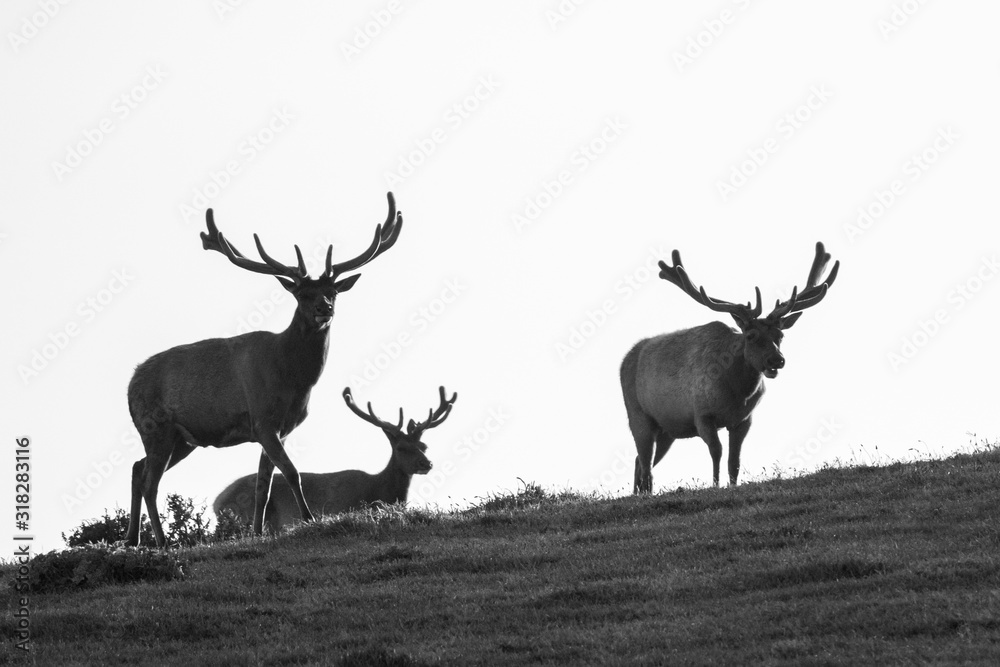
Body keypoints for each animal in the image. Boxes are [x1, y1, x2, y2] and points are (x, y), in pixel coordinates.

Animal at [125, 193, 403, 547]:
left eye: (333, 292)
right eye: (302, 294)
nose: (324, 308)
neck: (293, 379)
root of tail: (130, 383)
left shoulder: (279, 428)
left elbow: (263, 486)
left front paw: (256, 533)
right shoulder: (263, 421)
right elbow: (292, 472)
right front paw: (309, 519)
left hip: (183, 439)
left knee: (137, 467)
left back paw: (132, 538)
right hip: (155, 426)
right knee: (150, 480)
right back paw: (161, 541)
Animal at [213, 386, 457, 533]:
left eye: (423, 446)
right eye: (401, 448)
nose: (427, 464)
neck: (381, 491)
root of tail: (217, 502)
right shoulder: (346, 505)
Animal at [621, 242, 839, 494]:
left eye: (780, 335)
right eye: (751, 335)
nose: (777, 360)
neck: (736, 394)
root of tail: (625, 359)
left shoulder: (744, 420)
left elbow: (734, 460)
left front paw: (733, 485)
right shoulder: (702, 415)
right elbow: (717, 452)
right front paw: (715, 485)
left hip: (667, 429)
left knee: (639, 460)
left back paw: (639, 493)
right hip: (638, 415)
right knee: (645, 462)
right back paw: (645, 494)